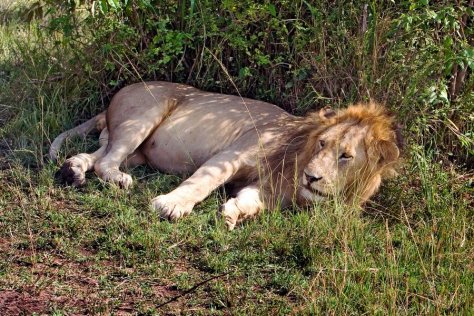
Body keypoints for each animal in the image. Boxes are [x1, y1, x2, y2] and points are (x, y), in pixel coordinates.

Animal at [50, 81, 402, 230]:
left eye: (345, 156)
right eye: (322, 144)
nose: (311, 177)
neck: (296, 158)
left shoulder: (268, 190)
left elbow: (250, 201)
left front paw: (232, 213)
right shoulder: (234, 153)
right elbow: (202, 182)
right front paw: (171, 205)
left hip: (136, 150)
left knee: (96, 154)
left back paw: (73, 170)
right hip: (146, 113)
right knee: (106, 161)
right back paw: (116, 179)